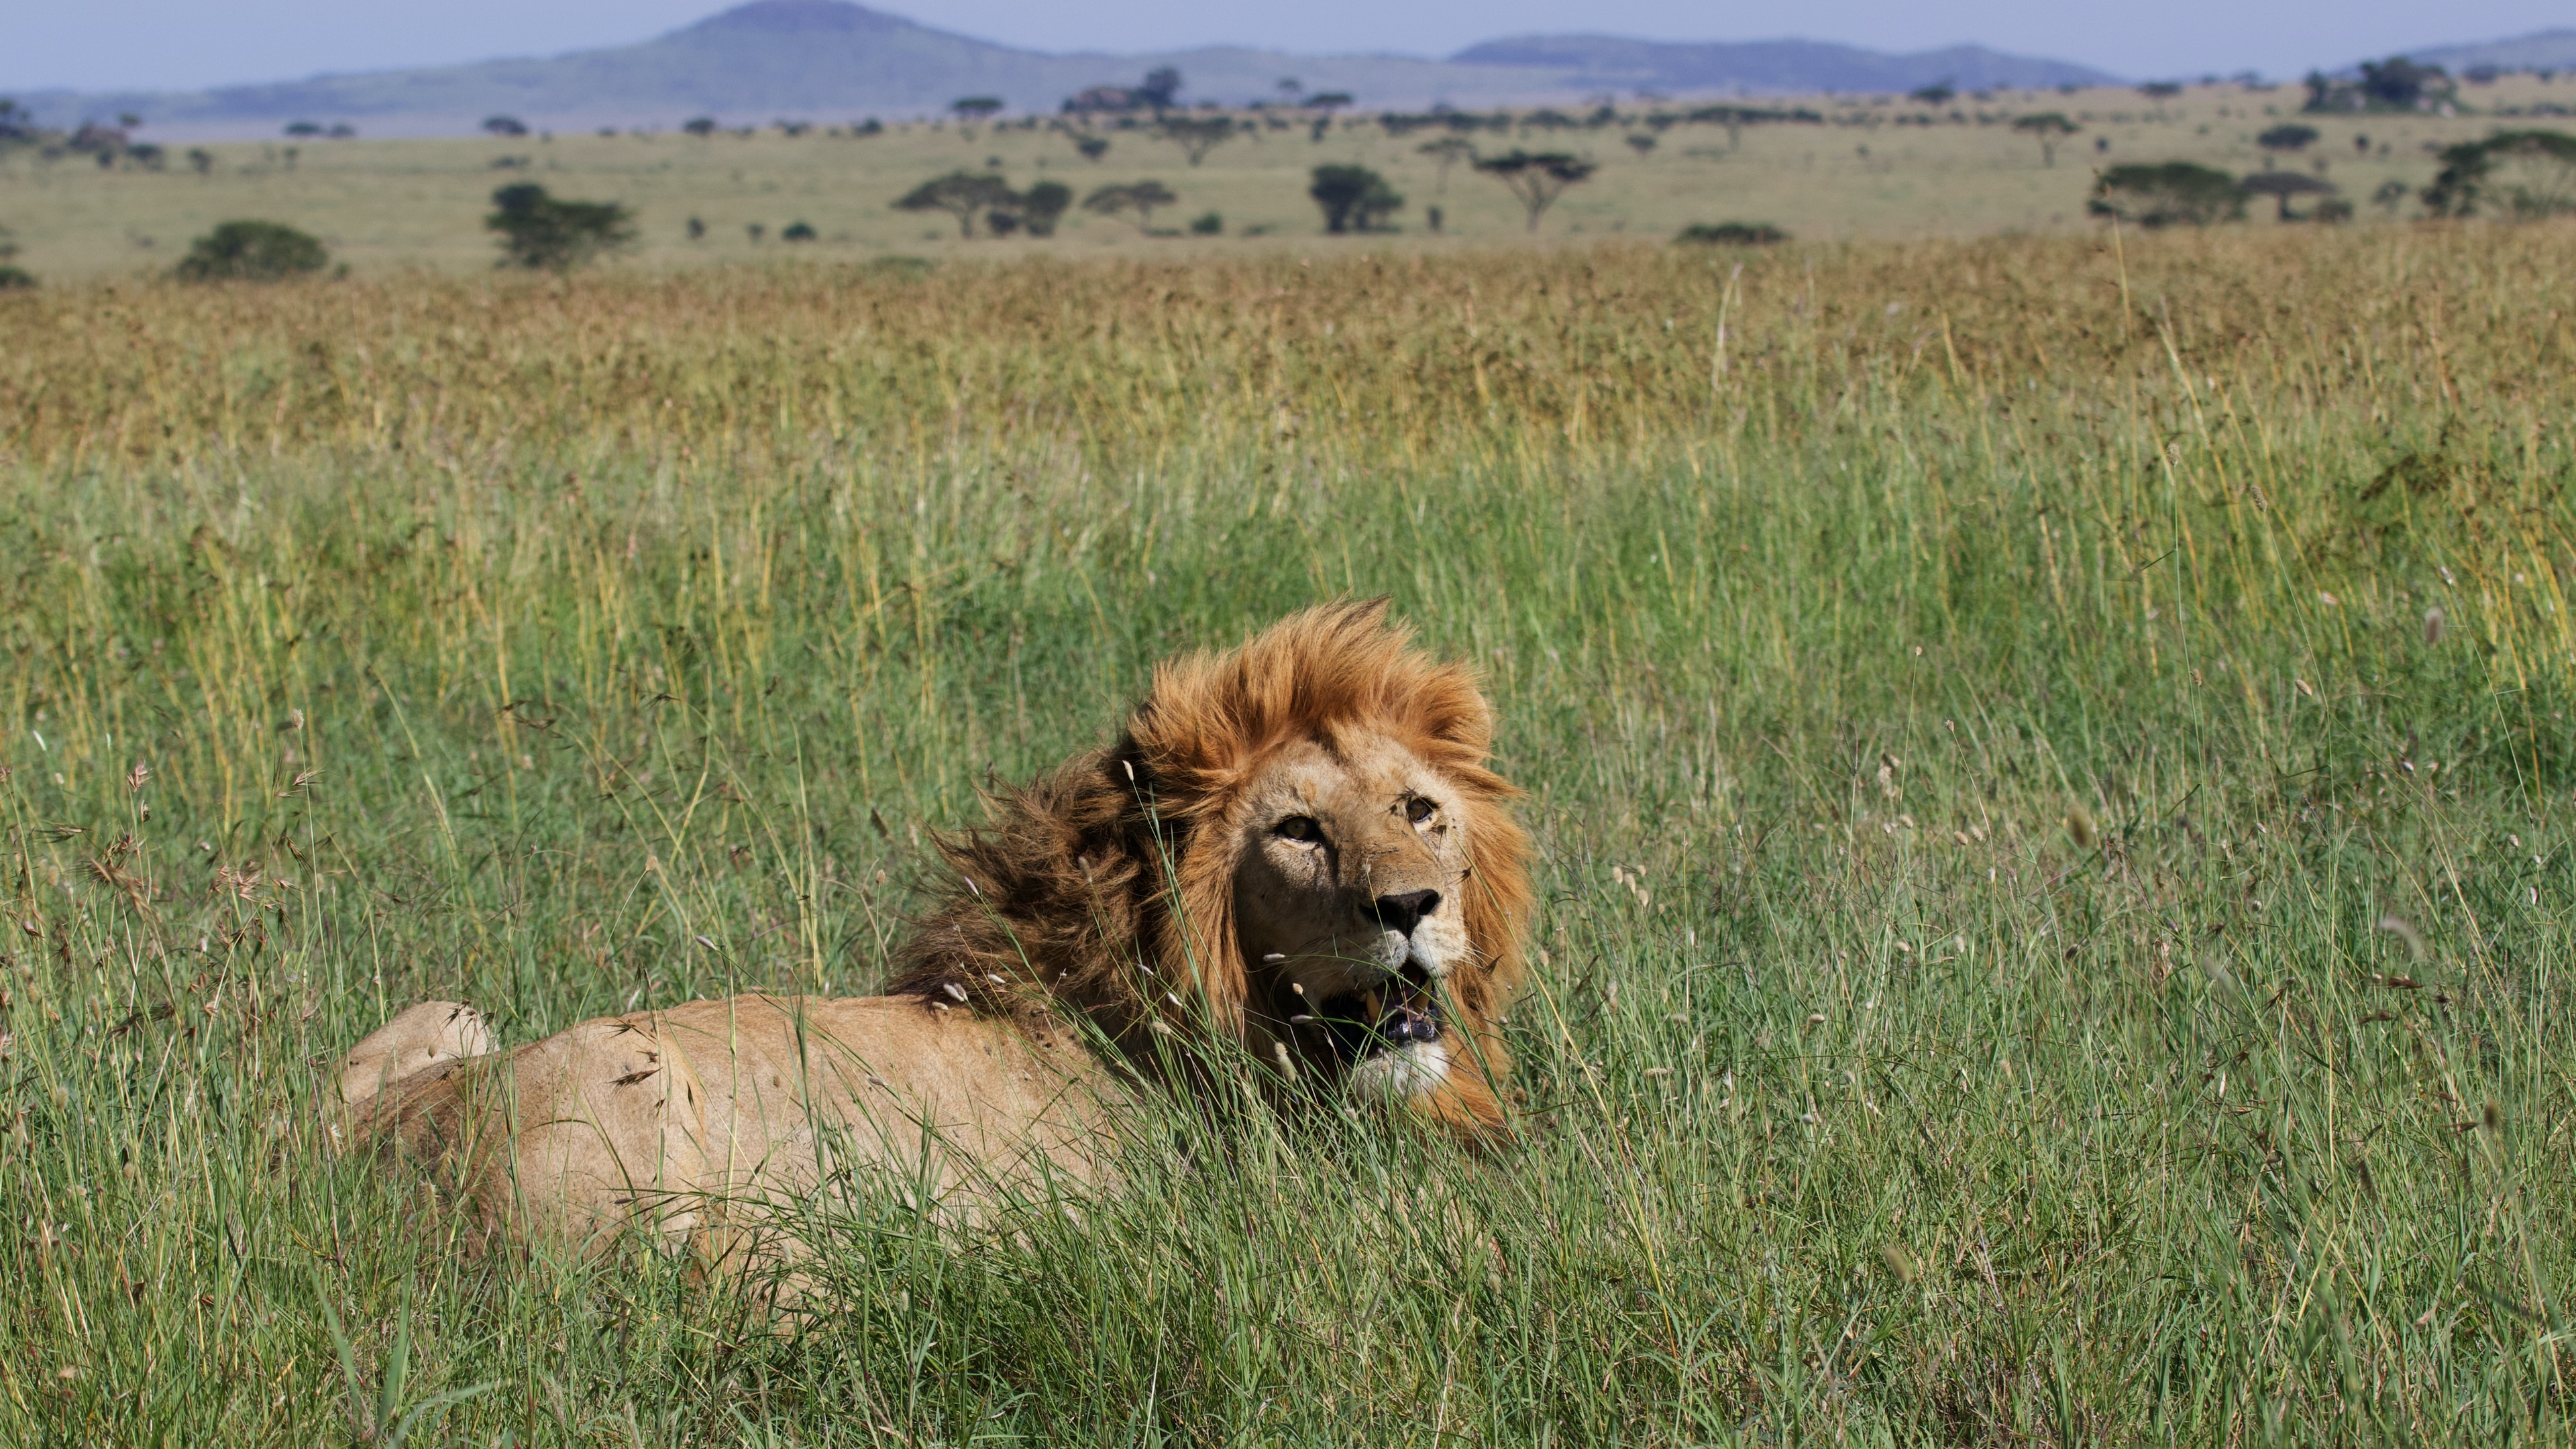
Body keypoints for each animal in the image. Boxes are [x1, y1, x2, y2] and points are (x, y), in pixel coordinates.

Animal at [337, 595, 1525, 1252]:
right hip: (631, 1085)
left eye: (1419, 810)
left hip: (448, 1015)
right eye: (1297, 831)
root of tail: (346, 1166)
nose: (1410, 907)